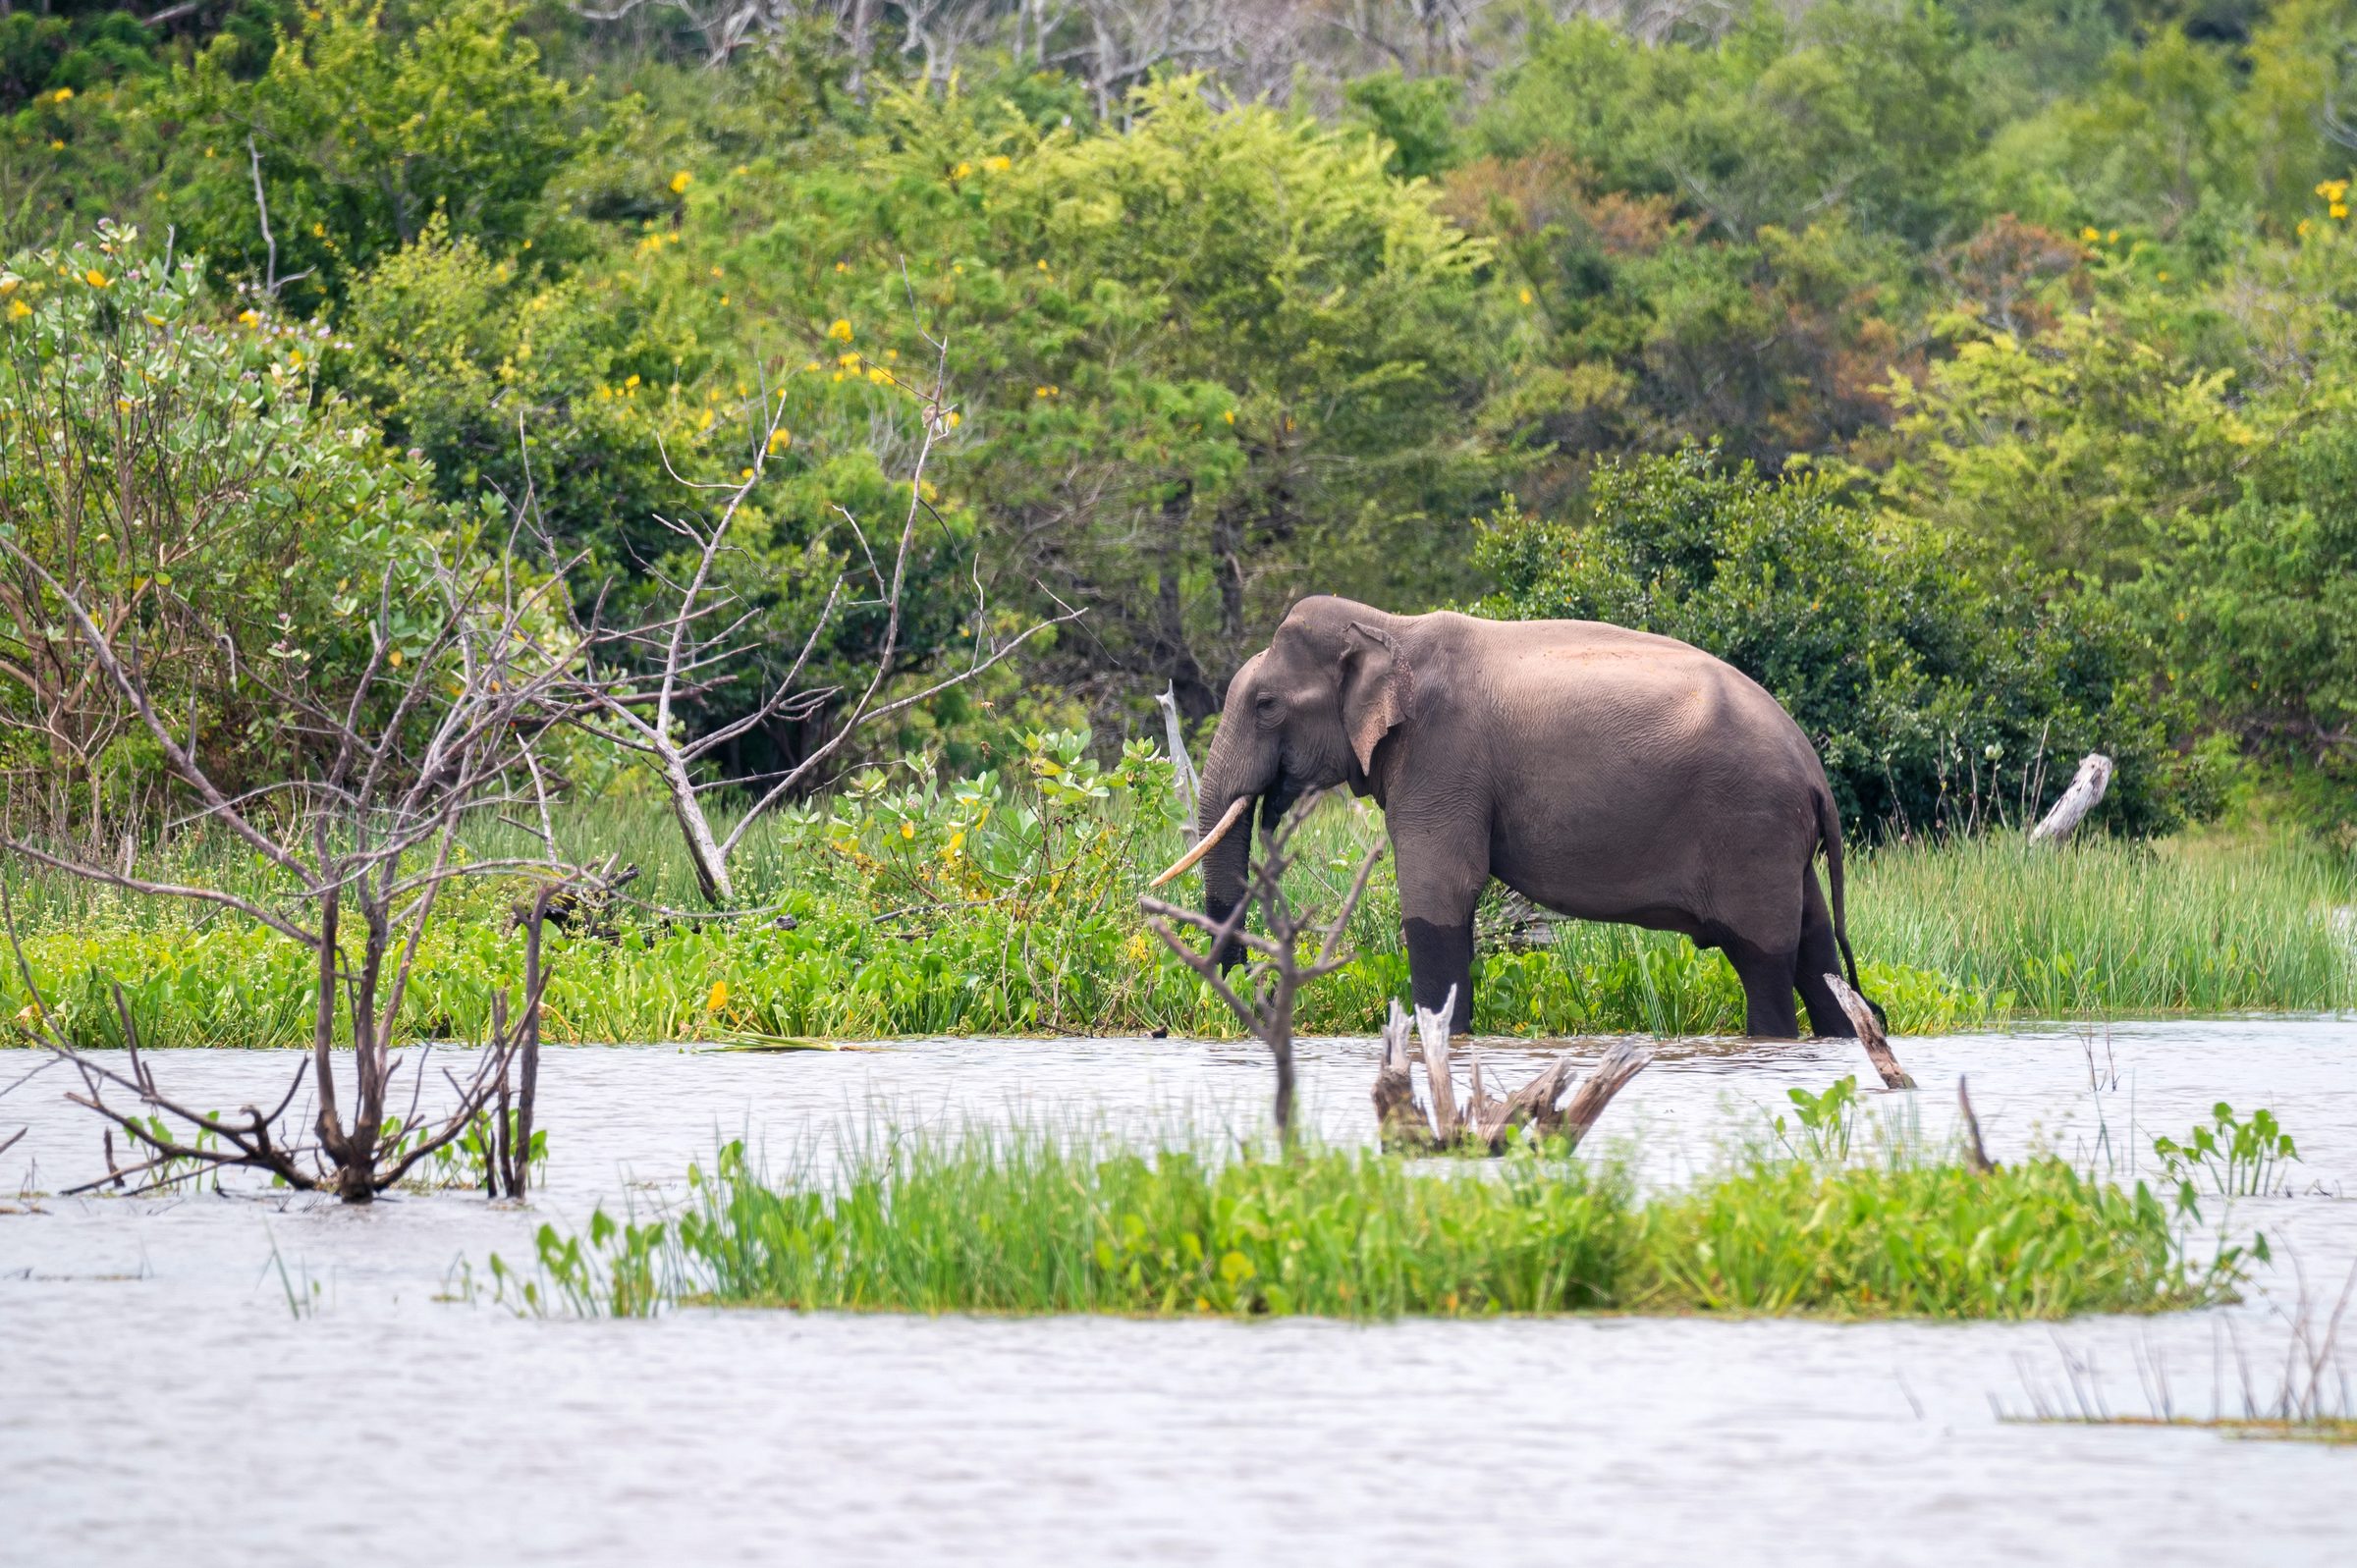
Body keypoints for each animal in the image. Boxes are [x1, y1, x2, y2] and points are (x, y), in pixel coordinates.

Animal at [1165, 594, 1876, 1039]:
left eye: (1266, 705)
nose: (1246, 987)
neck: (1389, 628)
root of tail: (1816, 774)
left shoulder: (1443, 758)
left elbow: (1440, 891)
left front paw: (1445, 1038)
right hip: (1780, 843)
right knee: (1817, 954)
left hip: (1752, 828)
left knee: (1765, 963)